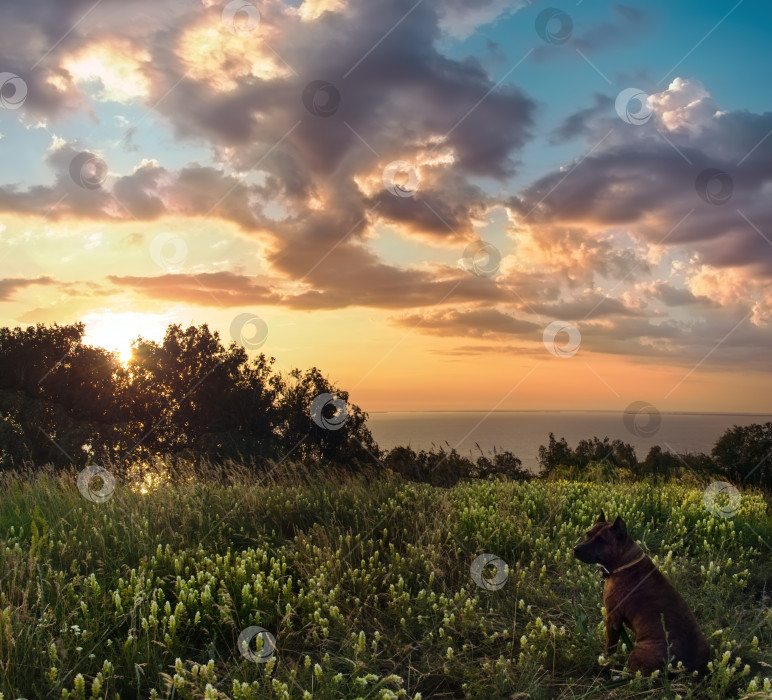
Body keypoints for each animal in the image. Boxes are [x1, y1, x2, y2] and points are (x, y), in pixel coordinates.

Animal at [572, 512, 712, 676]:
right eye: (587, 534)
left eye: (601, 541)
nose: (575, 549)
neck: (625, 561)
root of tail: (687, 667)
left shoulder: (613, 617)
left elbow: (610, 646)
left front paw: (606, 661)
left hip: (637, 653)